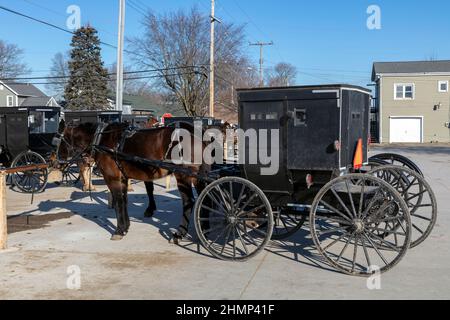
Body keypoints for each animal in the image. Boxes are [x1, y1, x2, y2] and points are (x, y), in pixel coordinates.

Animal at [58, 122, 209, 240]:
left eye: (59, 139)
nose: (58, 162)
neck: (101, 139)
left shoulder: (112, 179)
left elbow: (118, 202)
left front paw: (119, 230)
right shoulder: (123, 178)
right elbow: (124, 201)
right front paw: (126, 226)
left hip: (183, 175)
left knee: (189, 201)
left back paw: (180, 233)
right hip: (197, 176)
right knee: (204, 198)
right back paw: (204, 229)